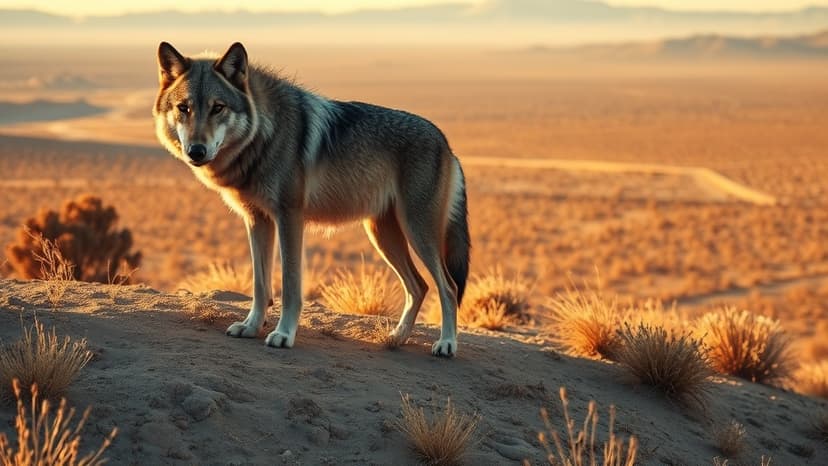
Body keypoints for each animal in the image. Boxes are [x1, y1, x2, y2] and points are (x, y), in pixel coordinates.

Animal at [153, 42, 470, 357]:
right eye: (184, 108)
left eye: (217, 107)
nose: (196, 151)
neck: (264, 136)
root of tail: (446, 143)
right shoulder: (257, 220)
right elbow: (260, 284)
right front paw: (252, 326)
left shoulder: (289, 218)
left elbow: (290, 284)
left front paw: (283, 334)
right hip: (383, 235)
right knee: (419, 287)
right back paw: (397, 338)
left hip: (416, 232)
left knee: (448, 287)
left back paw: (446, 343)